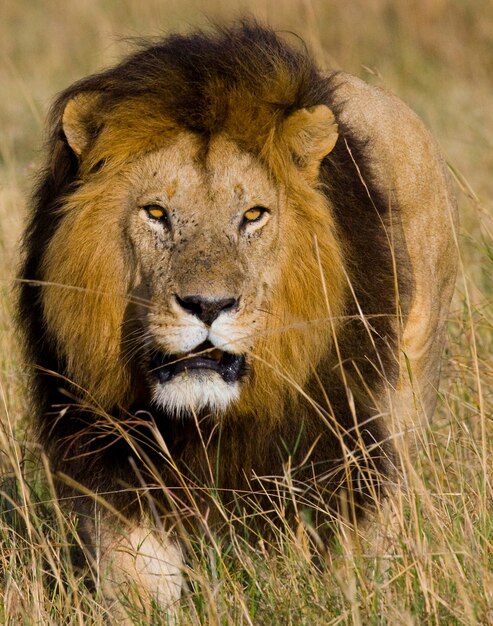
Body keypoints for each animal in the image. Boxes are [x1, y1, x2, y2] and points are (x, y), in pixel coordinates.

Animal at [18, 20, 458, 620]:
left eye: (252, 215)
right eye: (155, 213)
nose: (208, 306)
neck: (206, 421)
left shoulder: (351, 444)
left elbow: (353, 556)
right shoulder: (113, 461)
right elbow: (138, 583)